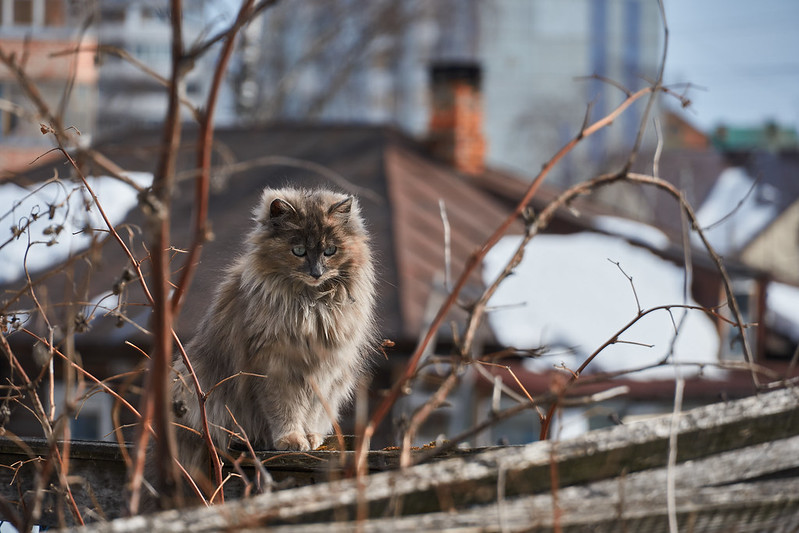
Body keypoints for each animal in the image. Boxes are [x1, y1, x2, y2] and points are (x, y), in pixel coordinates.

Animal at [173, 187, 378, 474]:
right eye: (299, 250)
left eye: (330, 250)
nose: (316, 273)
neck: (311, 306)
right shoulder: (275, 366)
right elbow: (284, 410)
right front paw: (291, 440)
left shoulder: (324, 371)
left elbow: (312, 411)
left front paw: (311, 437)